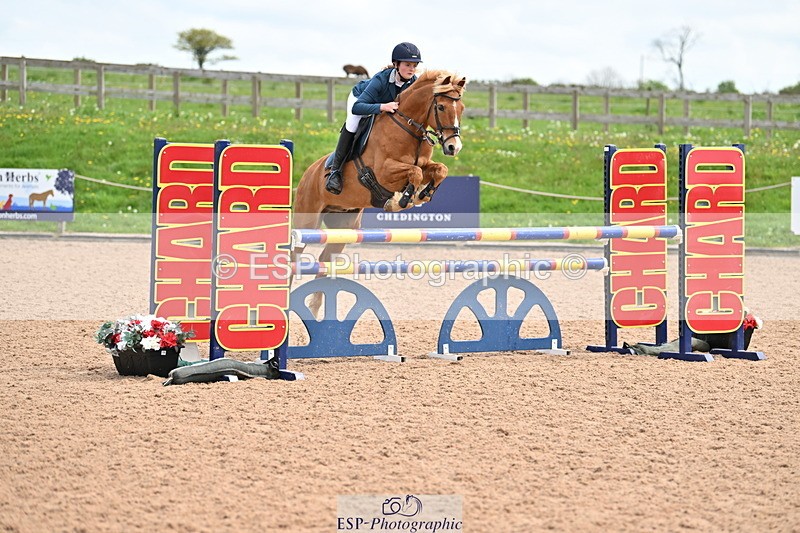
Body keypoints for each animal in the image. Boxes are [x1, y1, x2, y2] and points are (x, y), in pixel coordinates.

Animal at [293, 69, 467, 314]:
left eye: (462, 109)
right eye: (441, 107)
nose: (454, 148)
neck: (408, 128)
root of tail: (308, 172)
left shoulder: (425, 164)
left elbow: (439, 169)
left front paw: (423, 195)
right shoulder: (384, 172)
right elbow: (414, 172)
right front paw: (402, 199)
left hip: (343, 226)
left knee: (325, 260)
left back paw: (315, 307)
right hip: (307, 222)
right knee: (292, 257)